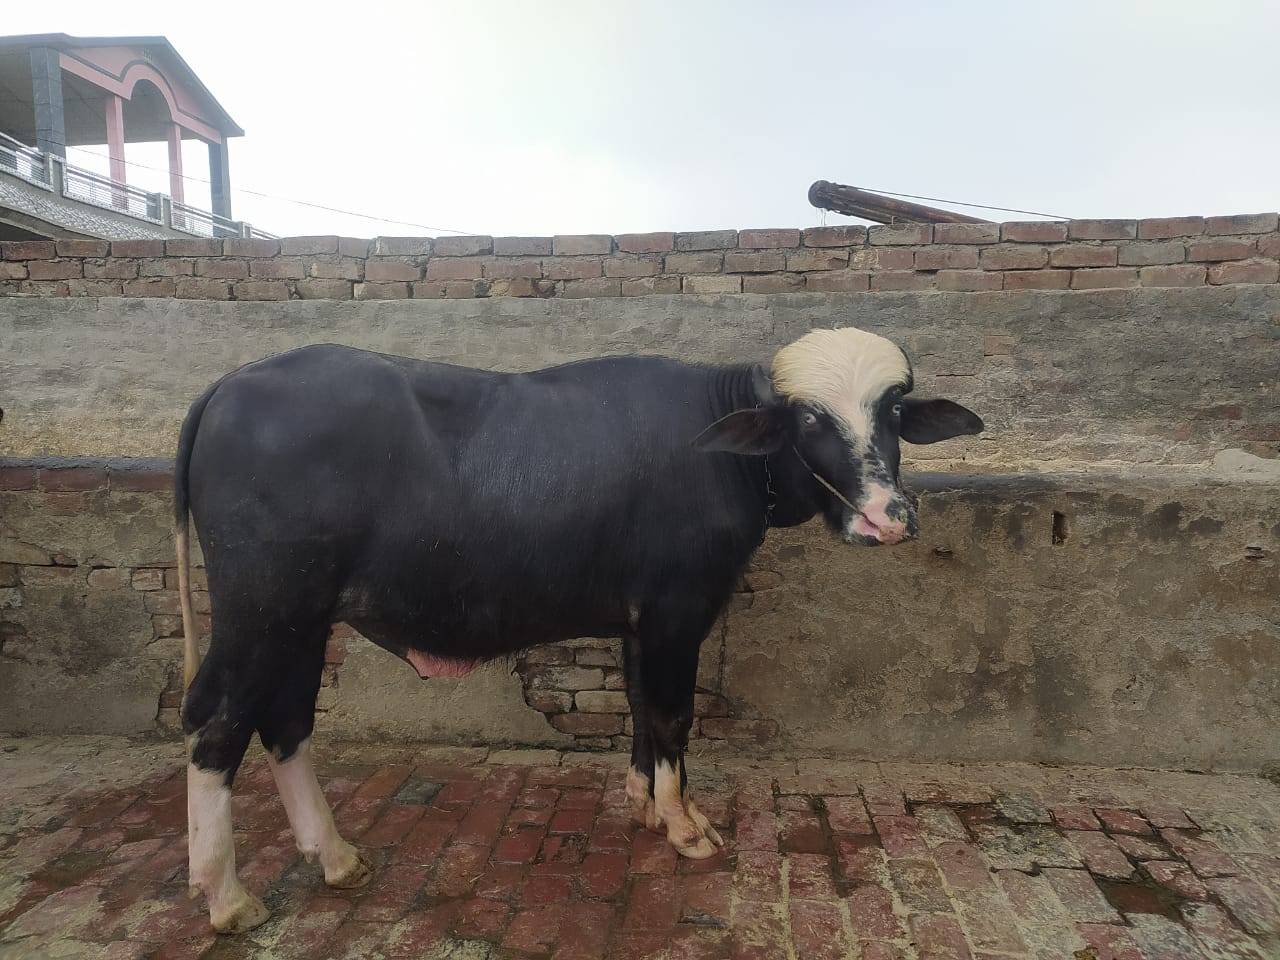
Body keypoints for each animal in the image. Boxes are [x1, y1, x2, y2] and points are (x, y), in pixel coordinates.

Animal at [175, 326, 982, 932]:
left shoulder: (637, 621)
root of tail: (231, 383)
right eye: (812, 420)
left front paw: (644, 802)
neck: (717, 455)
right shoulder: (676, 611)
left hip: (302, 622)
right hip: (262, 610)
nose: (887, 517)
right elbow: (672, 713)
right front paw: (684, 823)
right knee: (217, 724)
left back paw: (336, 856)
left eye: (893, 415)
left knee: (285, 720)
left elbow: (639, 708)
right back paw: (226, 895)